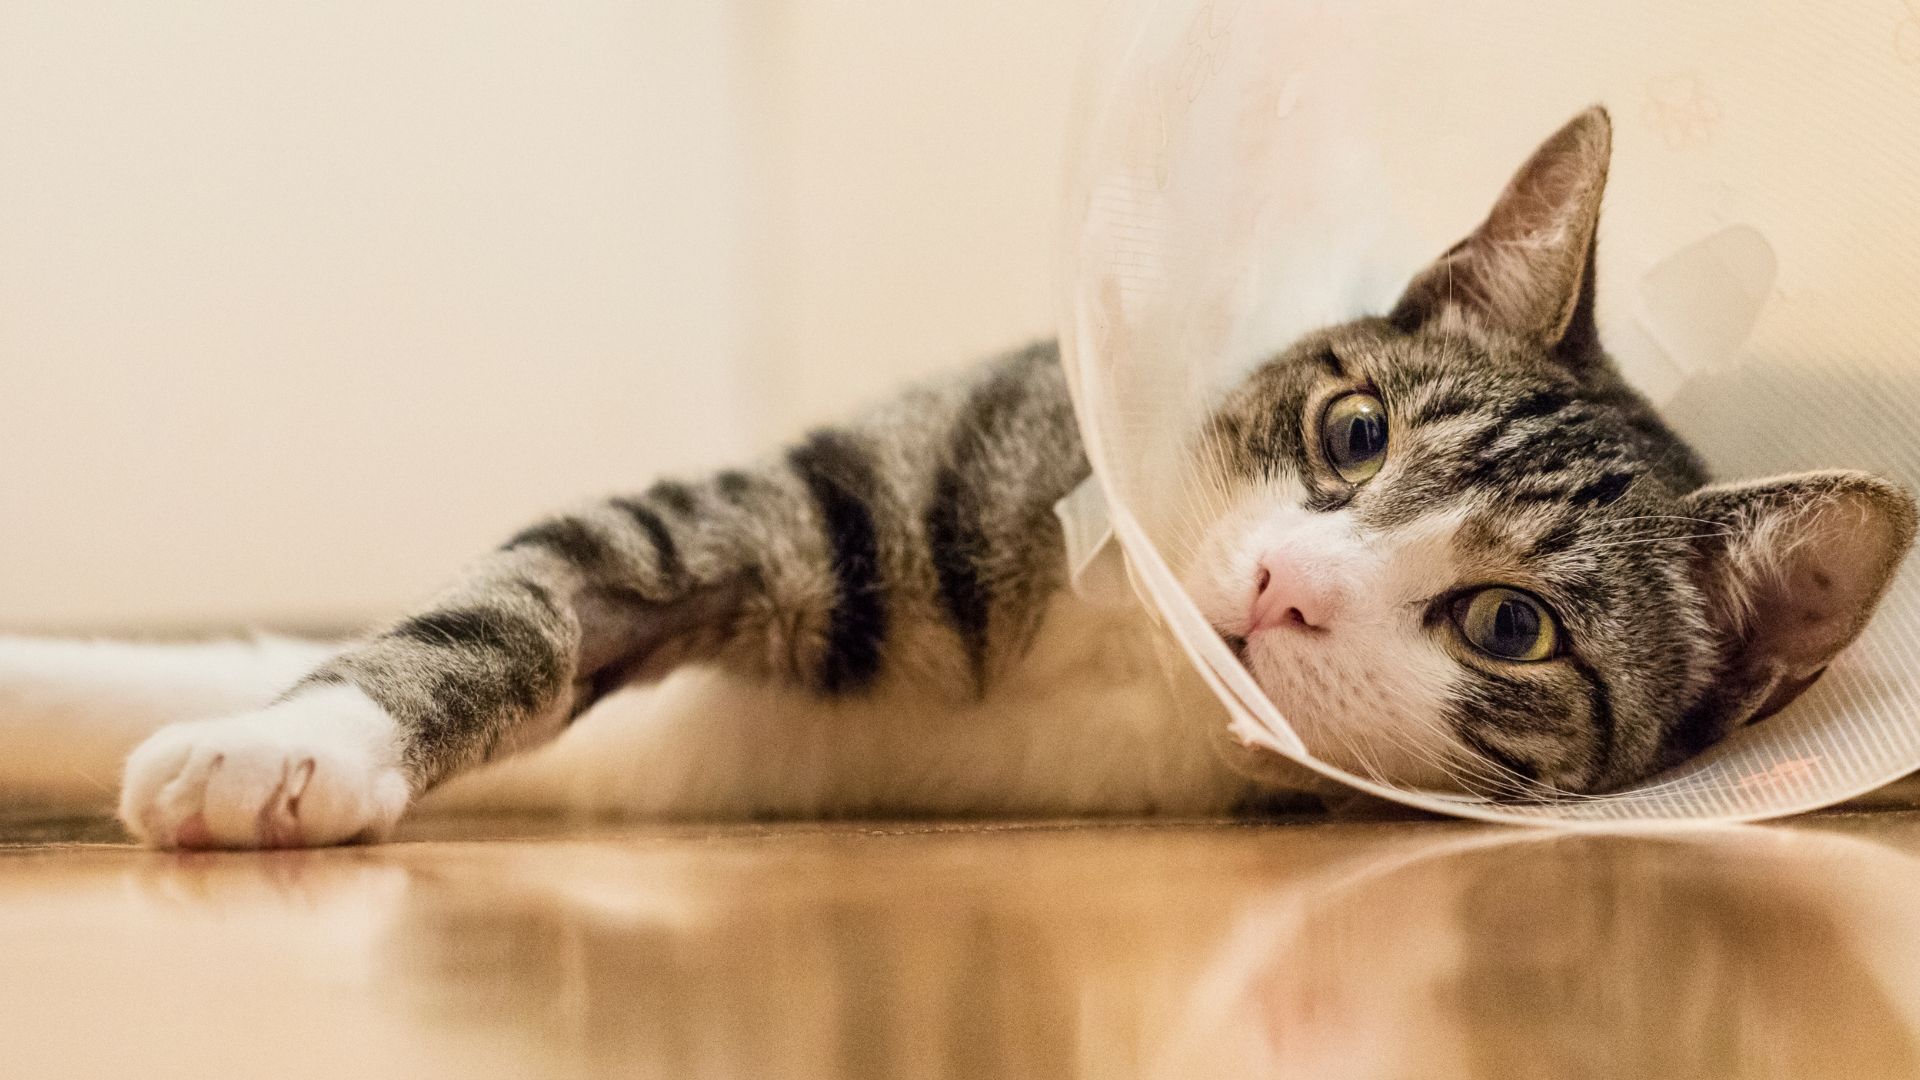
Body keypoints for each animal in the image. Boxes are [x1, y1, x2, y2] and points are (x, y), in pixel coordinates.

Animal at [0, 105, 1912, 845]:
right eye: (1354, 434)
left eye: (1511, 628)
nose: (1284, 586)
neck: (1125, 655)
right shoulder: (822, 503)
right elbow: (506, 607)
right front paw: (279, 740)